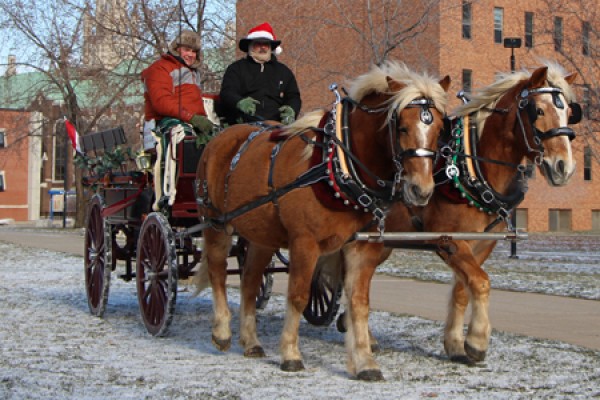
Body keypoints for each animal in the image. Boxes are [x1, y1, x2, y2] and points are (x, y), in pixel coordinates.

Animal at [193, 61, 450, 380]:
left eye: (439, 129)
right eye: (401, 127)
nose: (421, 190)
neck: (337, 165)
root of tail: (220, 139)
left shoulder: (362, 246)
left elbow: (359, 303)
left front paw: (364, 361)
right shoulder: (305, 242)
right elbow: (298, 295)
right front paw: (291, 354)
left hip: (261, 234)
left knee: (250, 281)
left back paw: (251, 341)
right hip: (216, 222)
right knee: (217, 272)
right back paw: (222, 332)